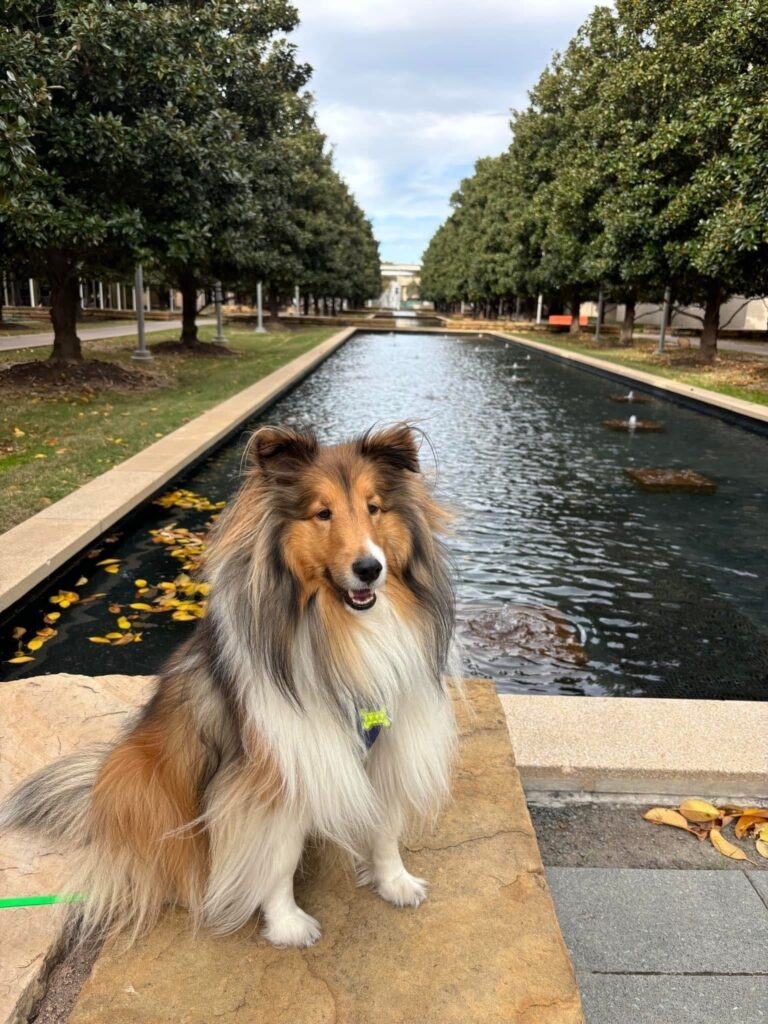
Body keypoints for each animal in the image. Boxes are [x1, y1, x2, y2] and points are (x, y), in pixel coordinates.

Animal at [0, 421, 456, 942]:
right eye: (322, 513)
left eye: (374, 507)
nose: (369, 569)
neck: (340, 629)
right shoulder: (277, 765)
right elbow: (277, 856)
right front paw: (287, 924)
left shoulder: (389, 742)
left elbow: (386, 825)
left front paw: (394, 881)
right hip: (140, 773)